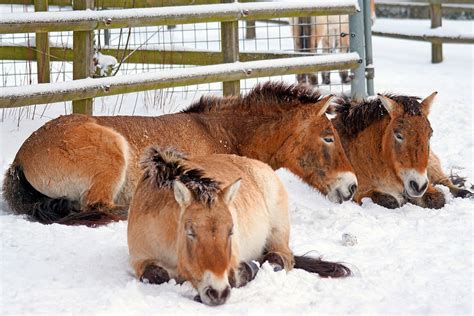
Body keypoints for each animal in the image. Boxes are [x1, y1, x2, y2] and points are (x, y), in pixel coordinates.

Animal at [0, 80, 356, 226]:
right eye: (328, 138)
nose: (351, 186)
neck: (221, 134)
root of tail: (20, 159)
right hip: (113, 155)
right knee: (100, 208)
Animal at [128, 148, 350, 306]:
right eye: (190, 232)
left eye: (231, 231)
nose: (217, 293)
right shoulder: (140, 260)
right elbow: (155, 275)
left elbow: (235, 276)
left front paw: (247, 270)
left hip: (278, 231)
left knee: (281, 257)